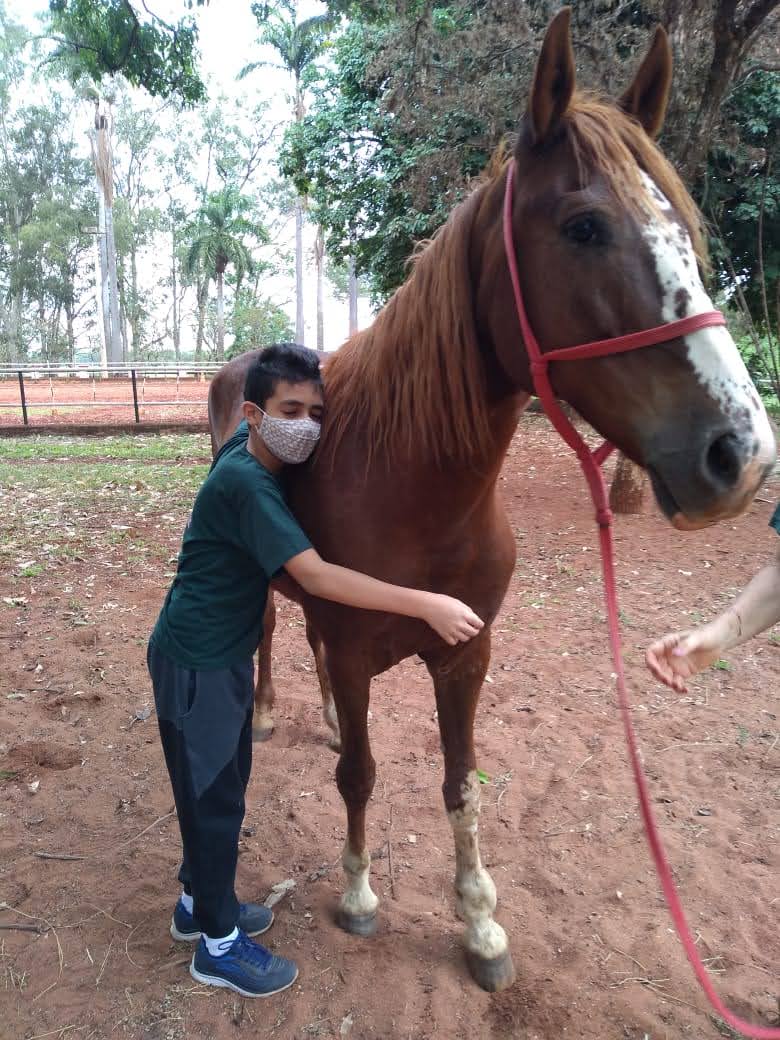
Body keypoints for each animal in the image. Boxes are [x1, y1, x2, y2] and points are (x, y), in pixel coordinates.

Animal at [206, 9, 775, 994]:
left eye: (684, 228)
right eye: (585, 226)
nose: (739, 454)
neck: (412, 490)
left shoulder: (466, 657)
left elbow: (459, 784)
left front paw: (479, 925)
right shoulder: (357, 650)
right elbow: (361, 775)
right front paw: (358, 895)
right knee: (278, 635)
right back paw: (278, 710)